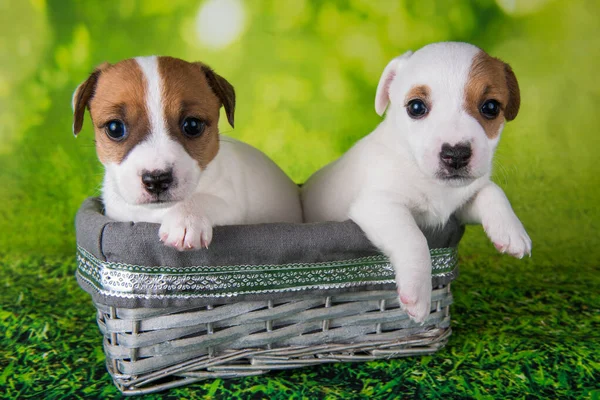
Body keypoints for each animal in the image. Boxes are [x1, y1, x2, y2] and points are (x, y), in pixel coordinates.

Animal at [72, 56, 302, 250]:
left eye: (192, 125)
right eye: (114, 128)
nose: (157, 179)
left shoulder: (231, 204)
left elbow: (201, 199)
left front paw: (186, 220)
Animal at [302, 41, 532, 322]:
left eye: (490, 107)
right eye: (416, 107)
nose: (456, 154)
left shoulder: (458, 206)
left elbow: (491, 190)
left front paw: (511, 230)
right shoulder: (378, 206)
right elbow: (414, 239)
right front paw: (417, 293)